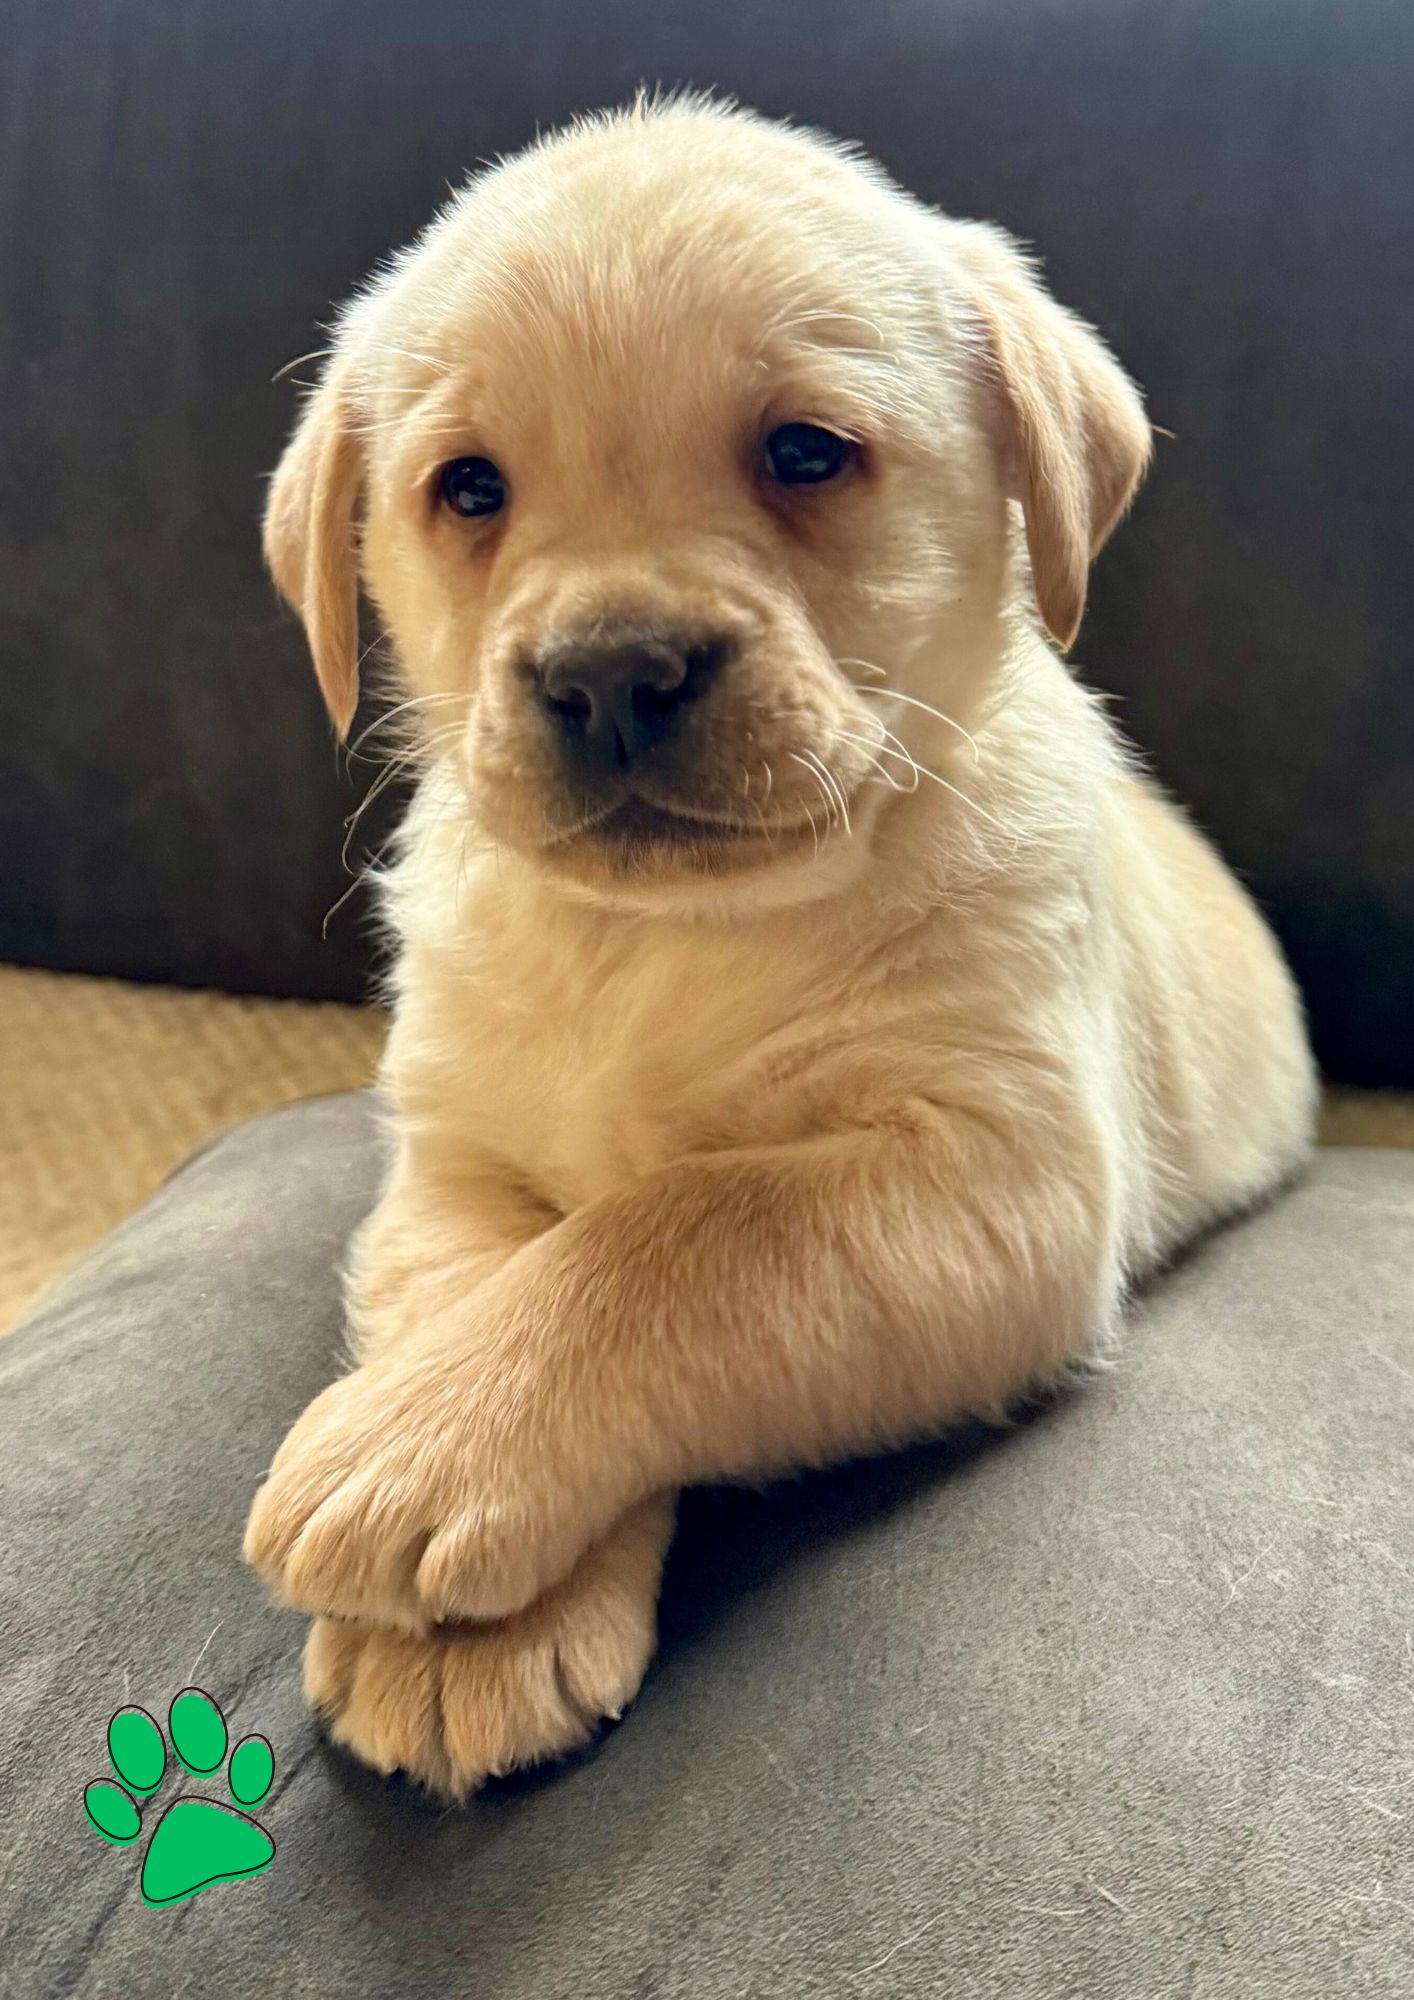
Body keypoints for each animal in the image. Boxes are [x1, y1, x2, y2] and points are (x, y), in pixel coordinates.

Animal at [243, 101, 1320, 1808]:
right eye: (467, 489)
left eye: (806, 452)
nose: (612, 674)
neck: (660, 940)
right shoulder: (455, 1162)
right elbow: (481, 1279)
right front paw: (447, 1600)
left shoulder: (999, 1176)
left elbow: (676, 1235)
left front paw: (414, 1462)